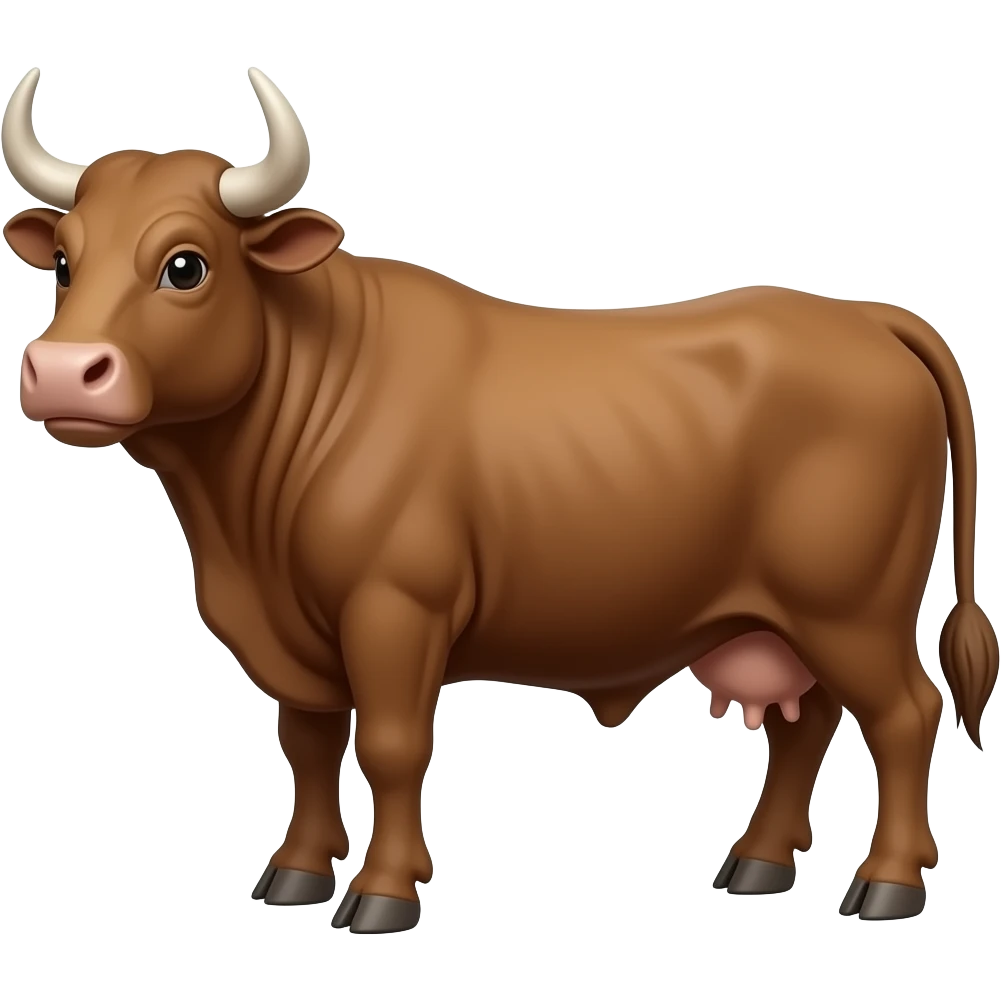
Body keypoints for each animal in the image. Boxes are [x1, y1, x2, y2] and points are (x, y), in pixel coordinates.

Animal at [5, 65, 997, 934]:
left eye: (185, 266)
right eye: (66, 263)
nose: (61, 370)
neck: (240, 527)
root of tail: (863, 314)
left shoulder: (394, 610)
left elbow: (391, 746)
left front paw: (383, 892)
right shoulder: (298, 634)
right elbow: (309, 743)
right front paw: (294, 871)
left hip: (852, 607)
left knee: (903, 715)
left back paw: (886, 883)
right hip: (784, 618)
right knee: (807, 724)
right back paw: (755, 862)